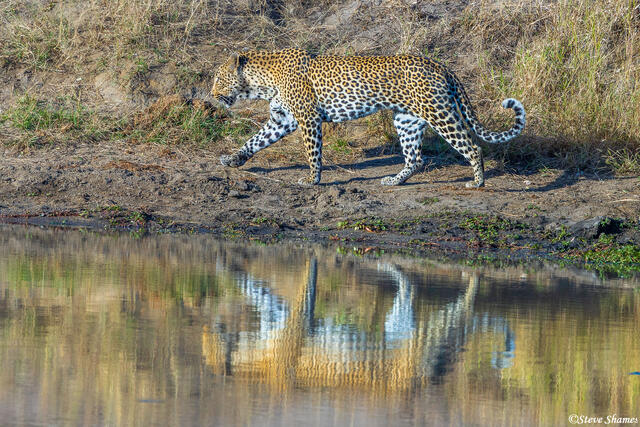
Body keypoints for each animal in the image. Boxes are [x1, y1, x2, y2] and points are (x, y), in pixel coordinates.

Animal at [211, 48, 525, 187]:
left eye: (218, 78)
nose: (212, 93)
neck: (262, 83)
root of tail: (440, 65)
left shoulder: (308, 118)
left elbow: (313, 153)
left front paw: (312, 180)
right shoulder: (282, 119)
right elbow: (255, 140)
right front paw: (233, 159)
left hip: (439, 113)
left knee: (472, 146)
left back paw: (477, 182)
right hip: (406, 120)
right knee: (415, 158)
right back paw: (394, 181)